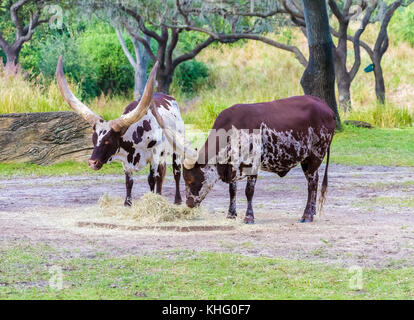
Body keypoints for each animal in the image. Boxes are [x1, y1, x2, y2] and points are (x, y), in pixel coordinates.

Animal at [152, 96, 336, 224]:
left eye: (191, 179)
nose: (189, 203)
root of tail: (326, 107)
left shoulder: (252, 165)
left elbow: (249, 192)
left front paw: (248, 217)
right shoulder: (232, 167)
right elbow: (232, 191)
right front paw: (231, 214)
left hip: (315, 155)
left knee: (312, 184)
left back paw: (307, 215)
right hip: (307, 159)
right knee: (314, 182)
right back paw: (312, 212)